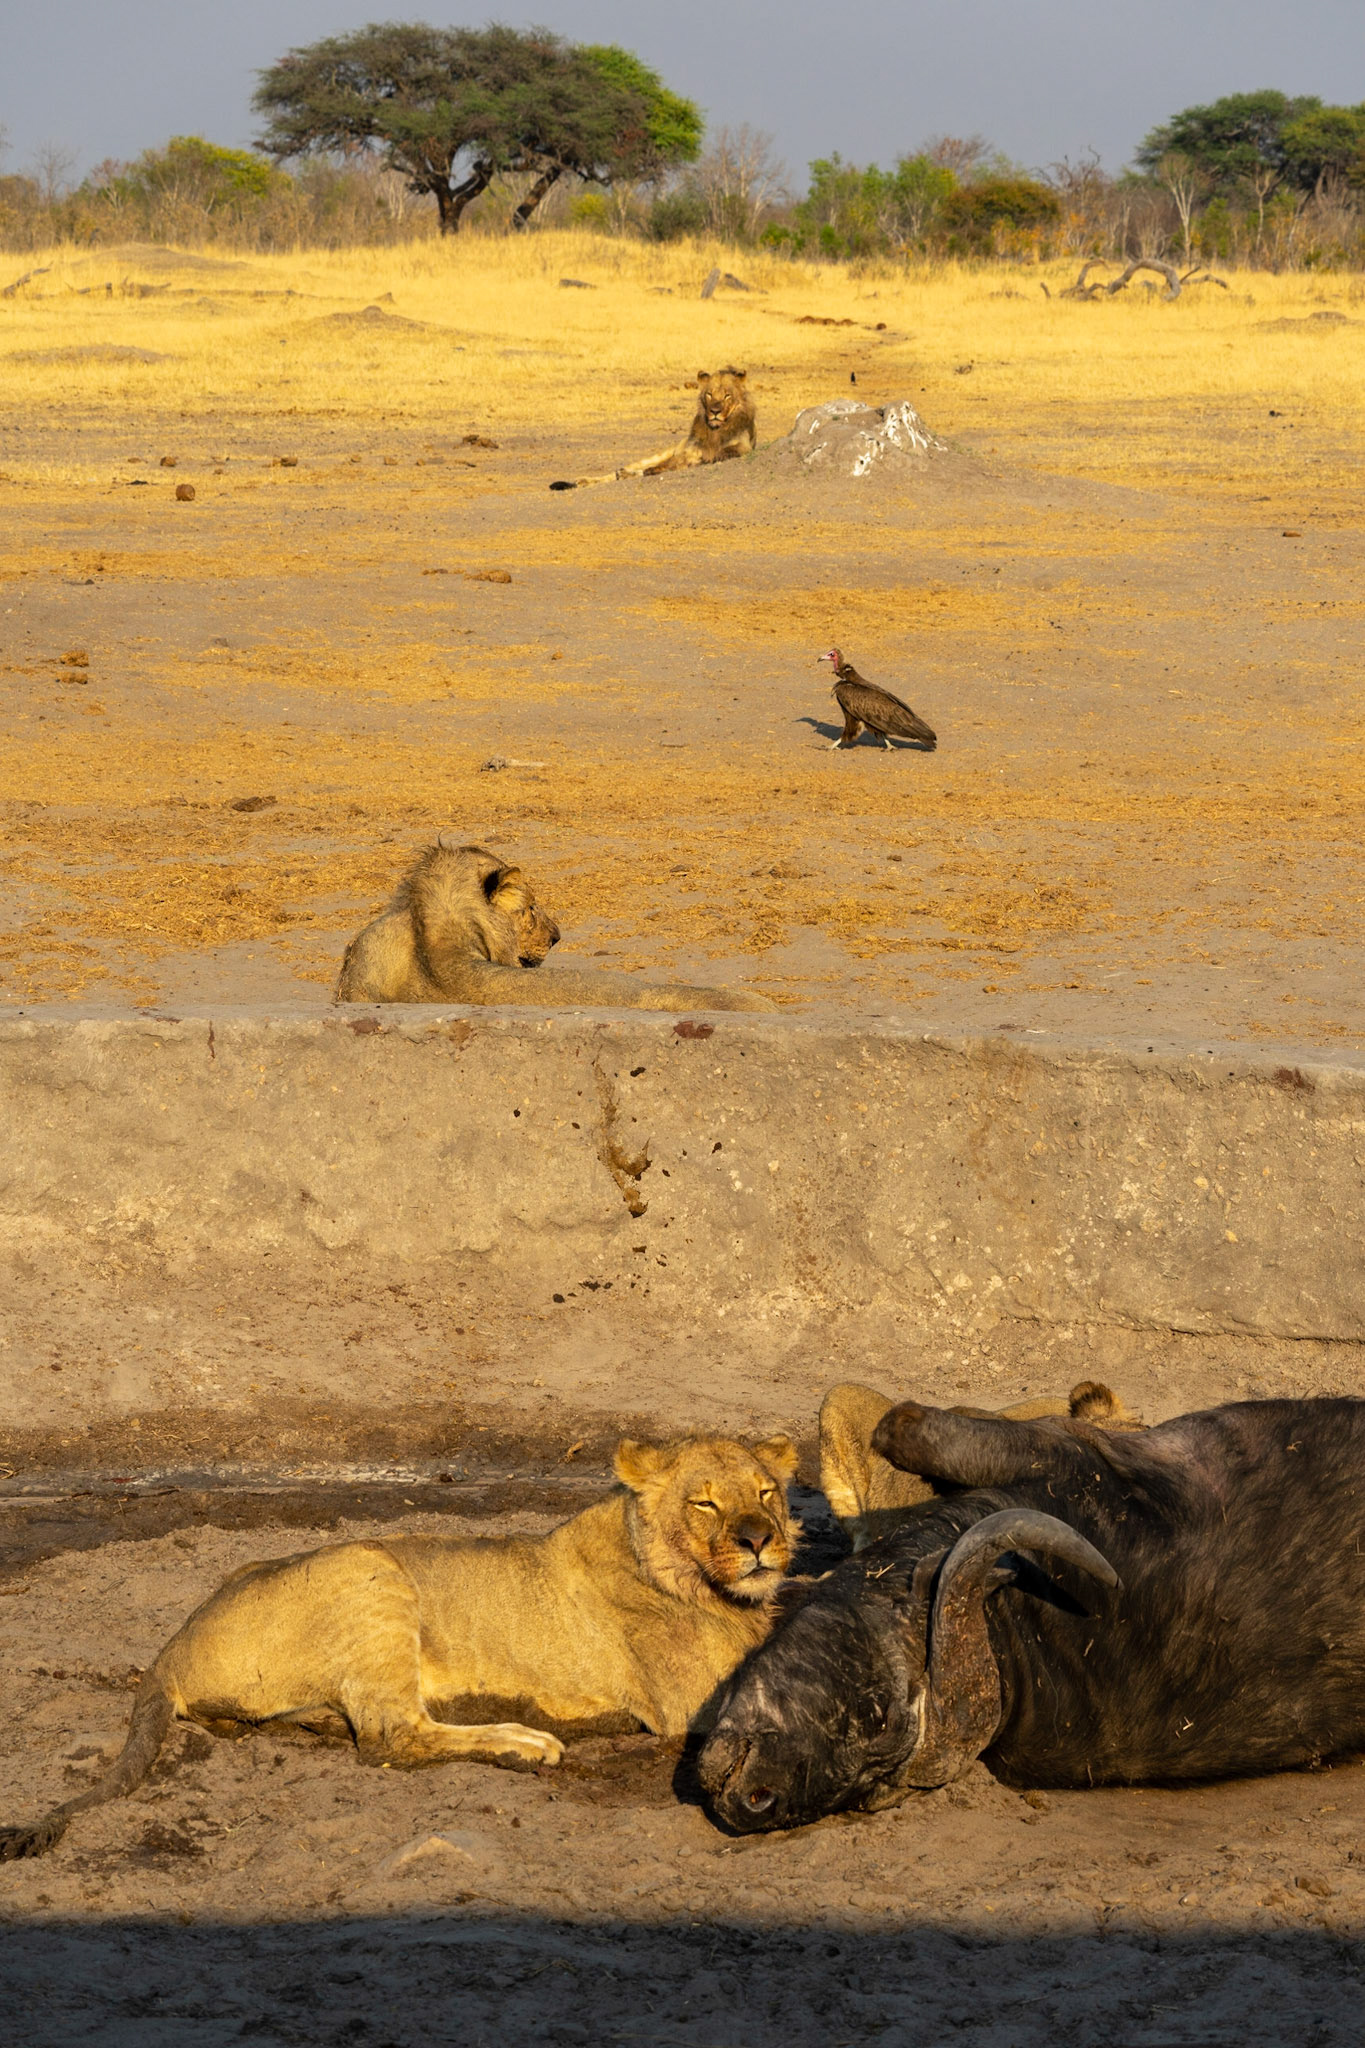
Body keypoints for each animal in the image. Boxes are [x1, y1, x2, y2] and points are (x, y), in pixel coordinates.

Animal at [0, 1433, 799, 1861]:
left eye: (767, 1493)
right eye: (705, 1501)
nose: (760, 1540)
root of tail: (174, 1641)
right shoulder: (686, 1700)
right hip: (372, 1568)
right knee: (392, 1737)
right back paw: (523, 1741)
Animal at [551, 369, 756, 490]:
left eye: (727, 395)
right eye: (709, 394)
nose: (714, 411)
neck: (715, 430)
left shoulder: (742, 447)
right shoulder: (687, 452)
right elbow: (660, 467)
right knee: (627, 469)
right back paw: (583, 480)